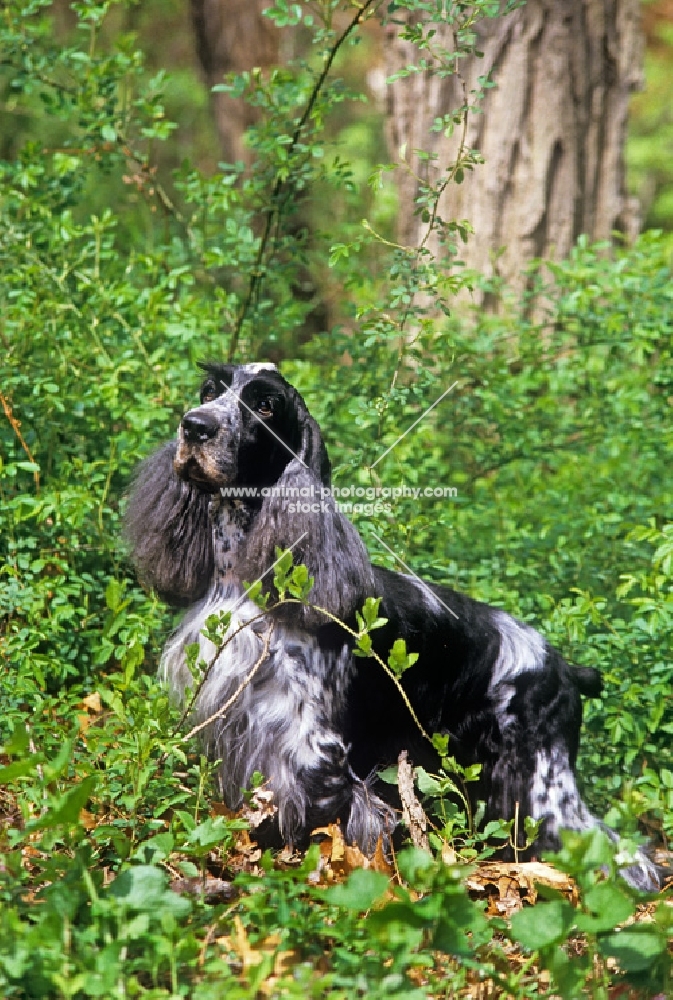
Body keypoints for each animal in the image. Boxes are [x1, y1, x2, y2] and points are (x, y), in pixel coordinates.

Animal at [124, 362, 660, 892]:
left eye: (265, 405)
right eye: (210, 389)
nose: (195, 426)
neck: (244, 578)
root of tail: (563, 666)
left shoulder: (315, 748)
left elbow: (324, 824)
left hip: (543, 781)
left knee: (613, 848)